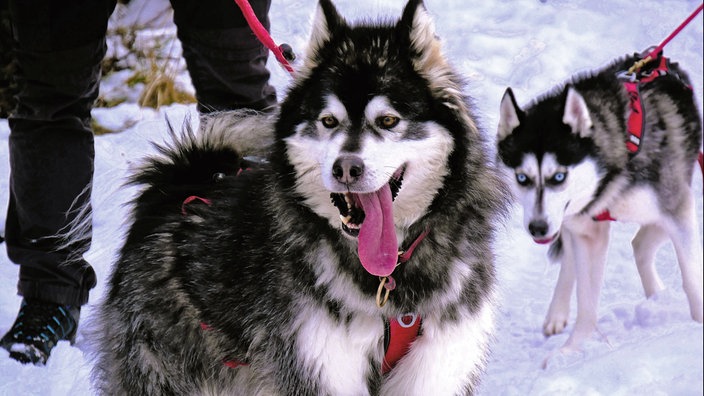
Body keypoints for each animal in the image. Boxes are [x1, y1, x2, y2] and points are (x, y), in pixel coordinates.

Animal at [95, 1, 512, 394]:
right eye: (329, 121)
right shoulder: (316, 366)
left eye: (388, 121)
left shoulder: (437, 366)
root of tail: (180, 186)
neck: (390, 278)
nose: (346, 168)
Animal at [498, 52, 700, 352]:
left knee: (641, 243)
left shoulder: (677, 207)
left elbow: (691, 275)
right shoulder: (585, 230)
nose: (537, 227)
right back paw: (557, 314)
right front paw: (569, 352)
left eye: (559, 176)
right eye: (522, 178)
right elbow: (586, 303)